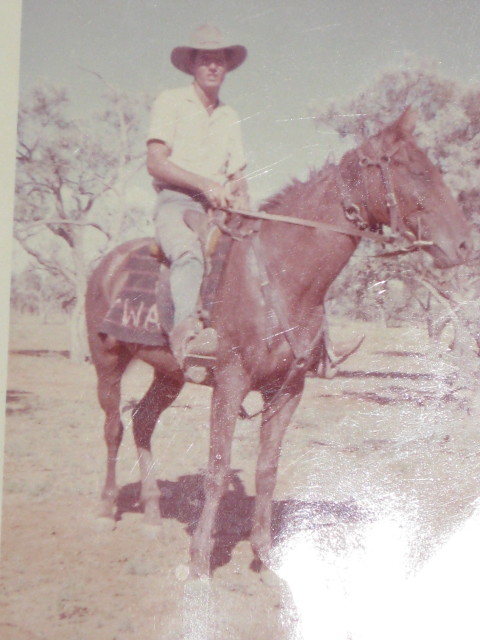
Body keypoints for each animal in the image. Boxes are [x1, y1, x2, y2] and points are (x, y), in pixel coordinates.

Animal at [84, 109, 470, 576]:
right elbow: (217, 469)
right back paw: (105, 510)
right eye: (417, 171)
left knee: (142, 421)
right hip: (107, 360)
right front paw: (199, 562)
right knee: (113, 427)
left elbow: (267, 469)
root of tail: (107, 263)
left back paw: (154, 516)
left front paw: (264, 554)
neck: (282, 275)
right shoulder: (229, 383)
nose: (465, 245)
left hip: (169, 373)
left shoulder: (287, 389)